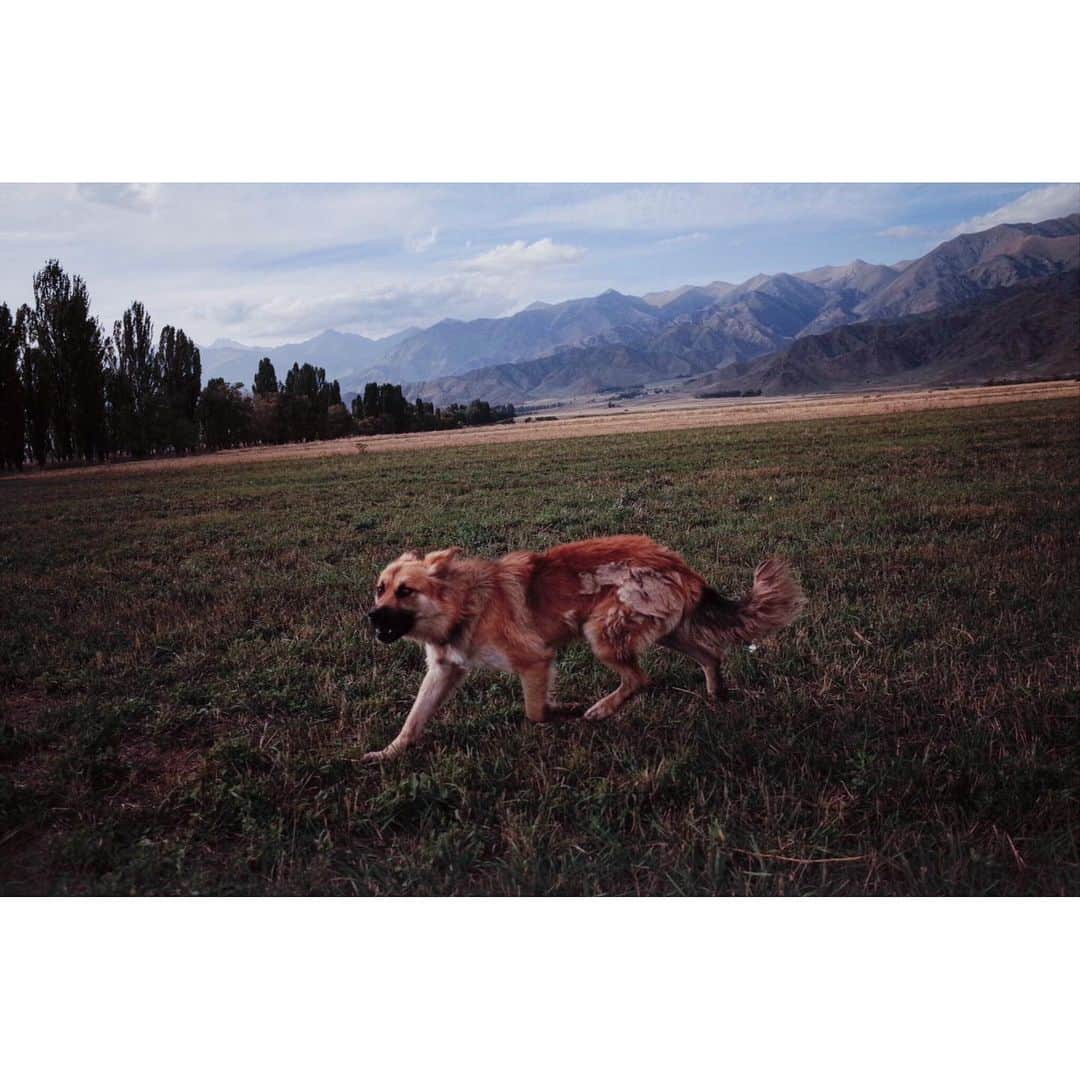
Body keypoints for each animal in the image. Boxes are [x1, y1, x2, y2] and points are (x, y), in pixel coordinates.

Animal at [362, 533, 803, 760]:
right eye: (380, 589)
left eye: (406, 591)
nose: (371, 617)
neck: (465, 602)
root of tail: (678, 563)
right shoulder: (444, 670)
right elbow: (414, 718)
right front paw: (389, 753)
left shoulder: (535, 661)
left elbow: (536, 712)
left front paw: (567, 710)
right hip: (668, 631)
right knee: (710, 654)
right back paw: (716, 694)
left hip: (601, 633)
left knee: (640, 679)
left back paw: (600, 709)